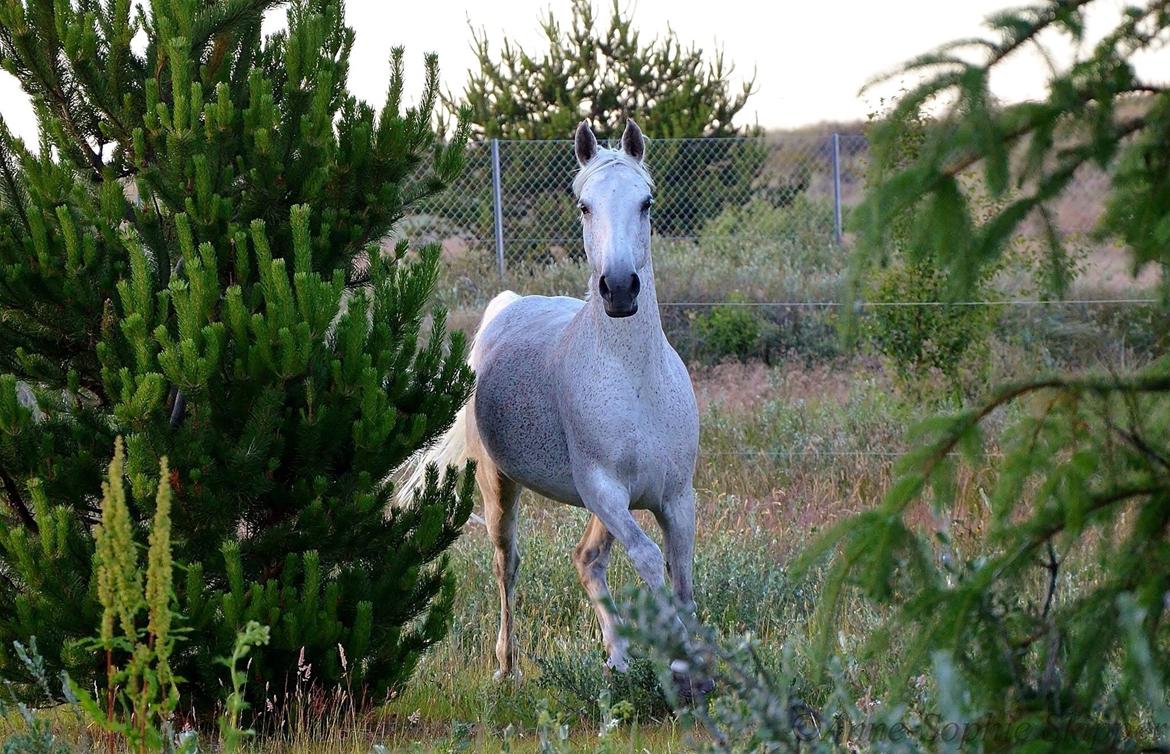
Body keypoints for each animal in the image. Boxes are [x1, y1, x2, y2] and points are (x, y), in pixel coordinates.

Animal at [397, 122, 702, 693]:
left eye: (646, 202)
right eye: (584, 205)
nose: (620, 288)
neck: (636, 383)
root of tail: (505, 309)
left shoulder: (676, 498)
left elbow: (682, 576)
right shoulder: (605, 491)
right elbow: (651, 561)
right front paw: (680, 667)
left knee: (587, 560)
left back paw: (616, 659)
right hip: (500, 486)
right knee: (507, 566)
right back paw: (507, 666)